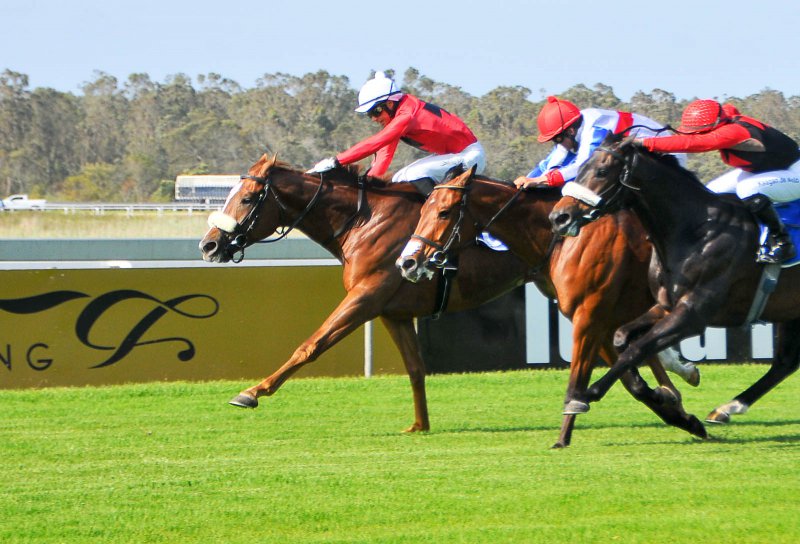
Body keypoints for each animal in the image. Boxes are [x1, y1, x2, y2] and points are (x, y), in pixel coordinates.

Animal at [200, 154, 536, 434]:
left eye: (246, 198)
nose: (208, 245)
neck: (364, 221)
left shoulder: (366, 297)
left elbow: (311, 345)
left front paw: (252, 392)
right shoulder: (393, 312)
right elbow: (415, 368)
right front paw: (419, 425)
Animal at [396, 167, 704, 446]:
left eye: (444, 212)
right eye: (422, 211)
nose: (407, 263)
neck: (566, 241)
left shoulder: (589, 319)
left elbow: (582, 378)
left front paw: (562, 437)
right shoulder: (599, 323)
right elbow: (632, 381)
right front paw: (680, 413)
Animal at [548, 134, 800, 422]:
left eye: (601, 171)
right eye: (580, 168)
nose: (559, 217)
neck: (694, 230)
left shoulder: (692, 315)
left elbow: (637, 348)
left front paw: (587, 393)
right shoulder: (666, 305)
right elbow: (622, 338)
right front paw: (662, 384)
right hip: (789, 311)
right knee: (786, 362)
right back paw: (727, 408)